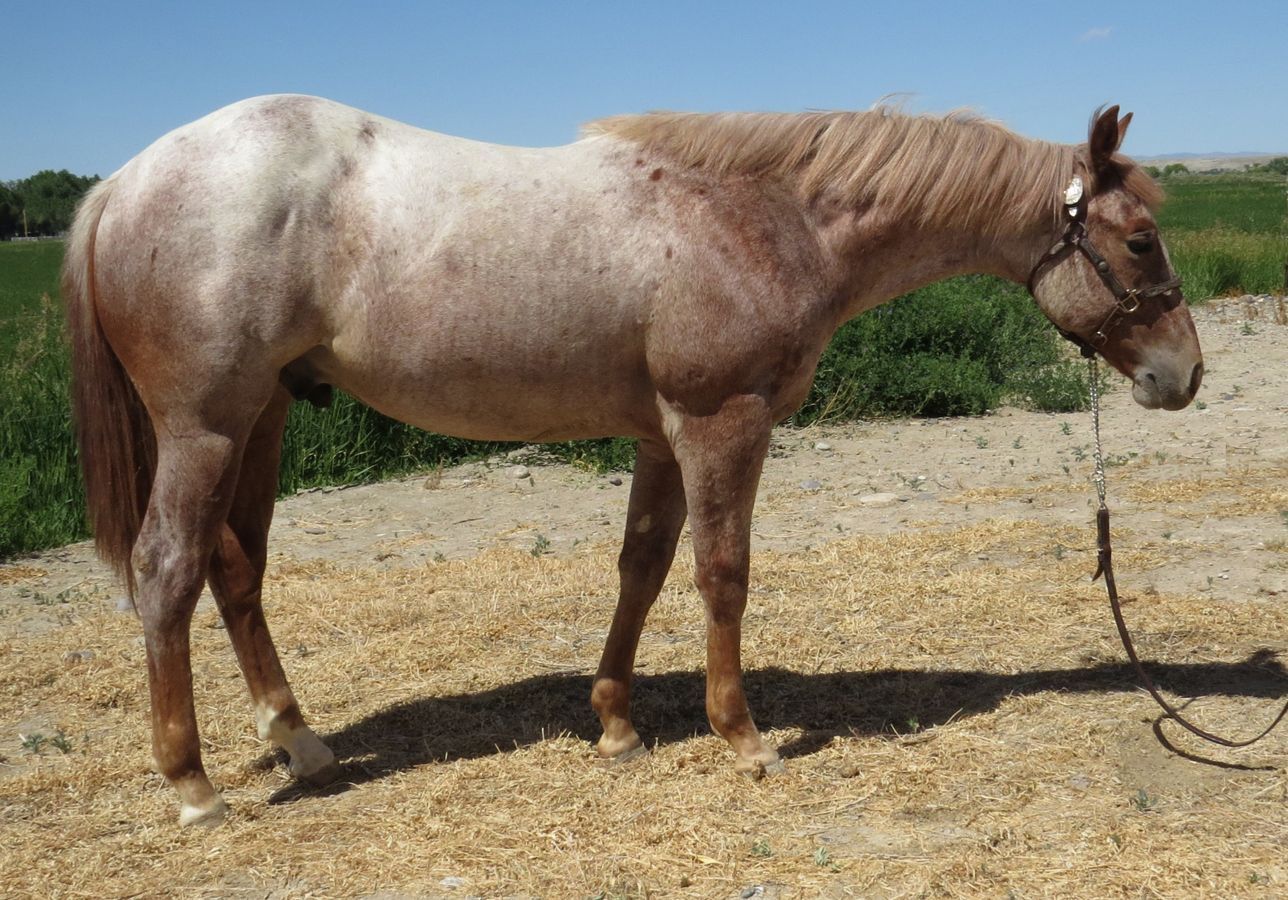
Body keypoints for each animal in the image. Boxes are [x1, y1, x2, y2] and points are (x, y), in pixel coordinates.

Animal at [63, 96, 1202, 826]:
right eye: (1140, 240)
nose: (1183, 375)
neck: (767, 216)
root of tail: (122, 183)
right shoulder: (722, 423)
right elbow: (722, 574)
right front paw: (743, 737)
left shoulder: (663, 435)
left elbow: (643, 569)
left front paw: (614, 723)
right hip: (205, 428)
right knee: (169, 572)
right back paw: (195, 788)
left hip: (261, 420)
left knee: (236, 570)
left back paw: (297, 742)